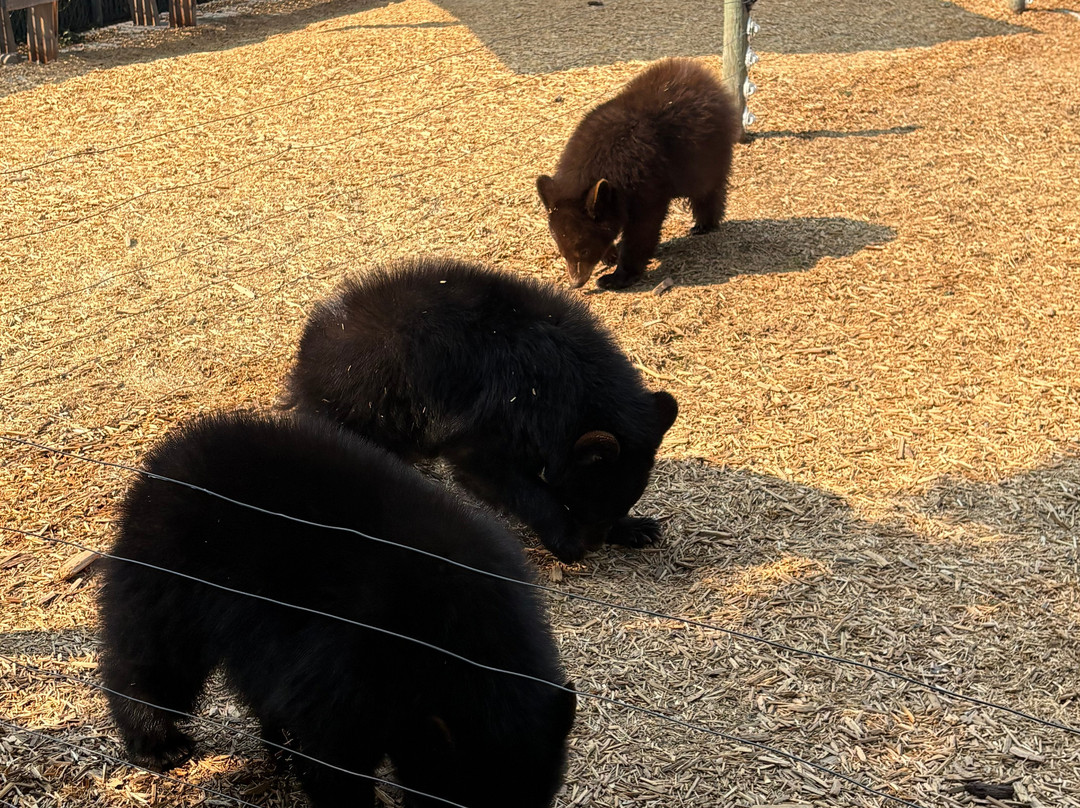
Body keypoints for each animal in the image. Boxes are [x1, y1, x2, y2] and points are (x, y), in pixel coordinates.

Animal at [98, 411, 576, 808]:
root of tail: (167, 456)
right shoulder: (358, 656)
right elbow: (333, 750)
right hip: (171, 574)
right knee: (154, 658)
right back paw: (157, 741)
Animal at [281, 257, 678, 564]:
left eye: (615, 508)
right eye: (583, 504)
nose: (593, 545)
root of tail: (307, 353)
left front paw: (639, 528)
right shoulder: (499, 411)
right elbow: (490, 470)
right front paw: (566, 540)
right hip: (369, 404)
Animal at [537, 58, 741, 290]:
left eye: (584, 250)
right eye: (562, 251)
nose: (576, 283)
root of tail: (708, 79)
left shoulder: (645, 180)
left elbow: (643, 227)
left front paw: (616, 277)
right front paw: (610, 254)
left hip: (704, 154)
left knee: (707, 189)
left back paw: (704, 224)